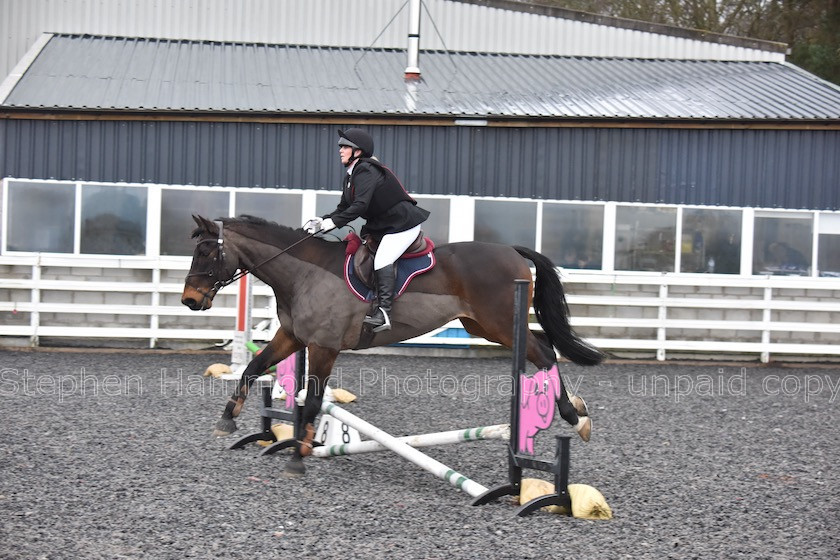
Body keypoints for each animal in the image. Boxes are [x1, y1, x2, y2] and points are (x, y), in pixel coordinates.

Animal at [182, 214, 604, 472]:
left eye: (205, 251)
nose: (189, 301)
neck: (302, 274)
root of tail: (511, 250)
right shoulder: (293, 337)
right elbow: (254, 369)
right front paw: (227, 420)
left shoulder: (324, 347)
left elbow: (314, 399)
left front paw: (299, 456)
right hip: (483, 327)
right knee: (543, 350)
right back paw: (577, 410)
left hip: (500, 323)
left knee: (544, 352)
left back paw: (574, 415)